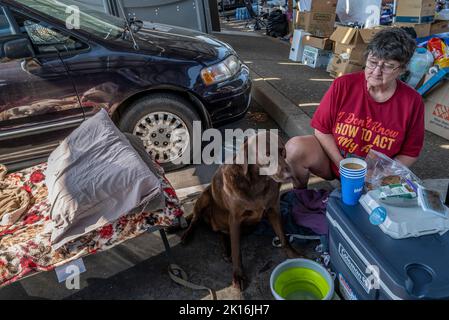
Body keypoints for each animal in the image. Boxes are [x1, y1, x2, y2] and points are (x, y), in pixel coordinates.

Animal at [182, 131, 300, 292]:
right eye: (267, 155)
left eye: (283, 151)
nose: (290, 176)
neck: (257, 184)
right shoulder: (235, 219)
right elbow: (237, 251)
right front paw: (238, 275)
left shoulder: (273, 211)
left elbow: (283, 236)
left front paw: (293, 254)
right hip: (205, 196)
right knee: (195, 219)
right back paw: (187, 235)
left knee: (222, 233)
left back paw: (226, 250)